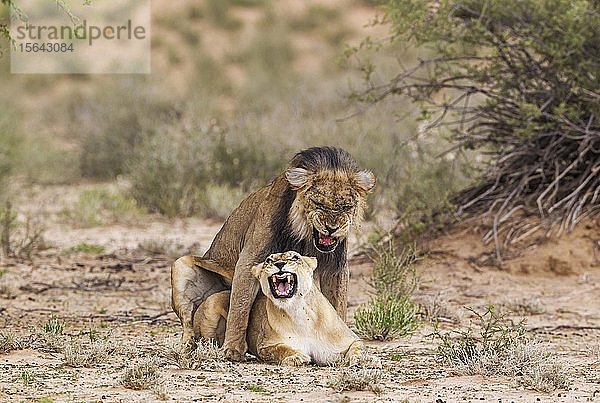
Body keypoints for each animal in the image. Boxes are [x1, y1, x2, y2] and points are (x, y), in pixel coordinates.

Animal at [193, 251, 360, 368]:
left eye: (295, 257)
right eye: (269, 260)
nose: (279, 264)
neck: (298, 312)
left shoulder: (346, 341)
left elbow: (357, 347)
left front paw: (360, 359)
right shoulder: (265, 346)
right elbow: (281, 349)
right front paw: (297, 357)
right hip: (212, 304)